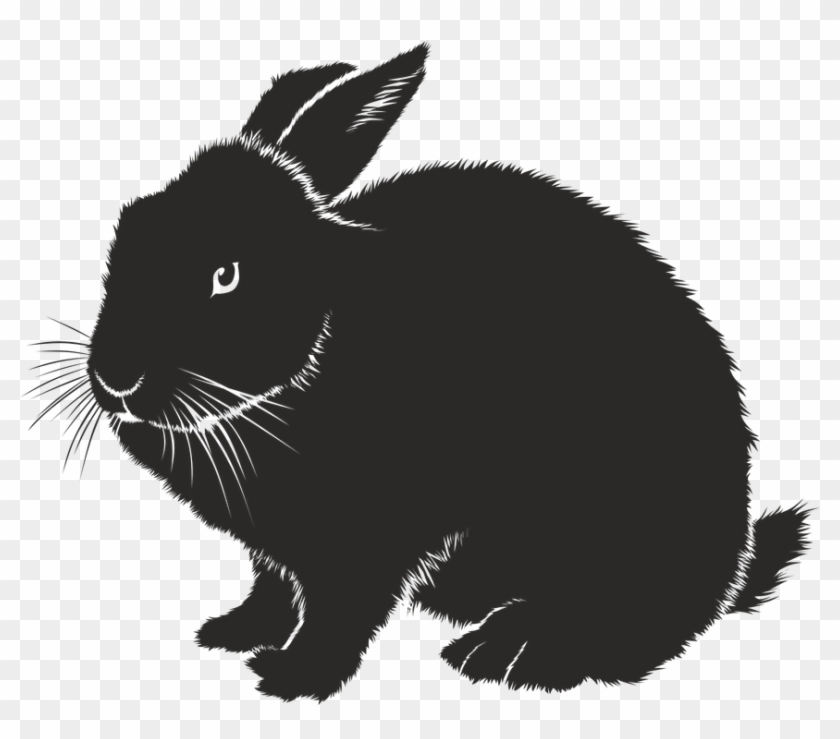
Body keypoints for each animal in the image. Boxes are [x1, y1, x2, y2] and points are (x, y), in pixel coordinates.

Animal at [31, 43, 810, 701]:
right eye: (127, 232)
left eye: (226, 274)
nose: (115, 380)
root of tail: (735, 559)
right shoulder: (278, 551)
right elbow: (273, 587)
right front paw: (233, 631)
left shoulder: (370, 536)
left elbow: (342, 610)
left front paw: (293, 677)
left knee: (629, 627)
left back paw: (507, 653)